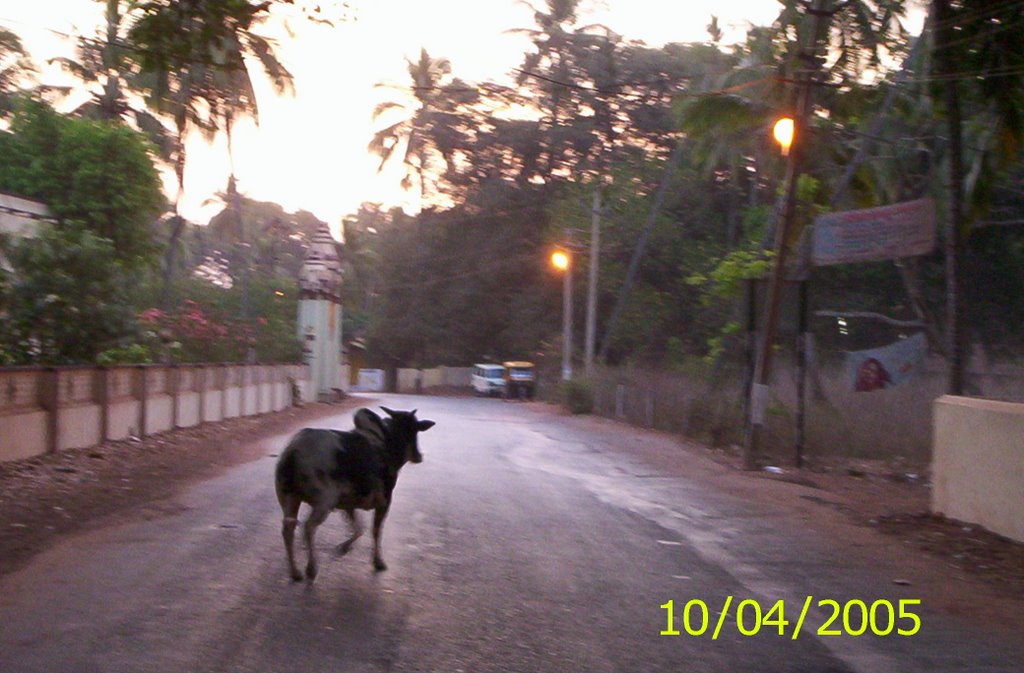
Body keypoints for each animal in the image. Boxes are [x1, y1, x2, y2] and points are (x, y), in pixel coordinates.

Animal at [272, 407, 432, 581]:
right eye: (414, 430)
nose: (419, 456)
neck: (386, 443)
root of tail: (293, 452)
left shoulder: (348, 505)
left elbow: (358, 528)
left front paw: (344, 547)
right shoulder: (384, 501)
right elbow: (375, 531)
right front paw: (378, 562)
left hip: (289, 498)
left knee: (288, 530)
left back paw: (295, 572)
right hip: (324, 501)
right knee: (308, 527)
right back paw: (311, 569)